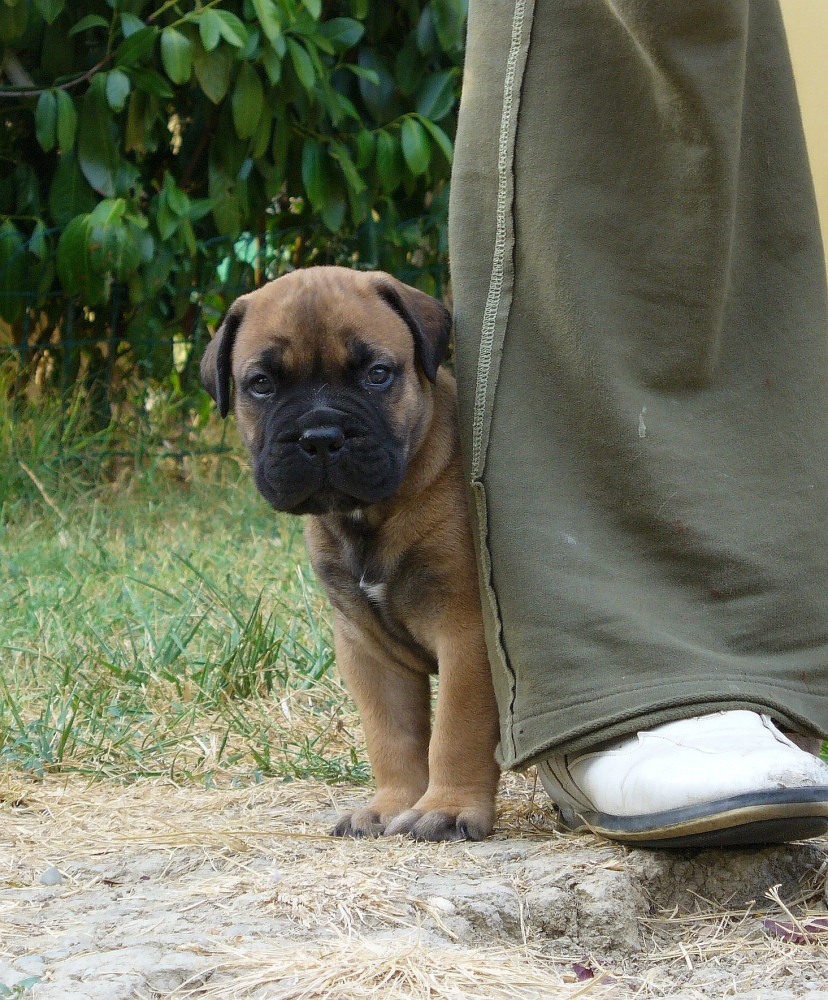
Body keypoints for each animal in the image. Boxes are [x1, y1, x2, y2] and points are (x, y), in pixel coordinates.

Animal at [200, 266, 500, 841]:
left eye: (378, 374)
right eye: (261, 384)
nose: (321, 435)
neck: (368, 517)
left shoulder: (468, 635)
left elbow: (459, 727)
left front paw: (446, 808)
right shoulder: (368, 648)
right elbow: (392, 735)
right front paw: (391, 805)